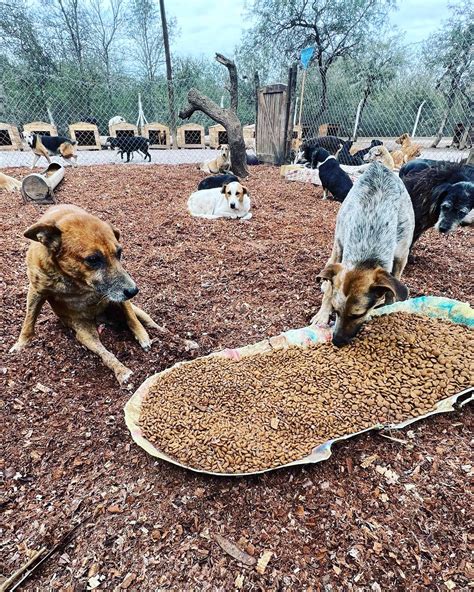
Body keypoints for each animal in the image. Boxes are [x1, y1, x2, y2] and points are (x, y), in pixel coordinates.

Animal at [11, 205, 196, 384]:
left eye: (119, 253)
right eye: (93, 259)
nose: (134, 291)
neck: (73, 279)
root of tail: (103, 320)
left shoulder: (121, 299)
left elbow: (132, 319)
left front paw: (142, 337)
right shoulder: (36, 291)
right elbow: (29, 320)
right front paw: (22, 344)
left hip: (139, 312)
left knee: (155, 326)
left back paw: (182, 341)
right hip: (85, 334)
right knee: (105, 352)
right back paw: (122, 371)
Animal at [312, 162, 414, 346]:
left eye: (358, 315)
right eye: (336, 310)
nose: (336, 341)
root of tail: (378, 165)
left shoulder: (401, 258)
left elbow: (391, 291)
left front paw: (390, 306)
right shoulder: (340, 252)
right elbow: (330, 290)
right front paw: (323, 315)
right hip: (337, 241)